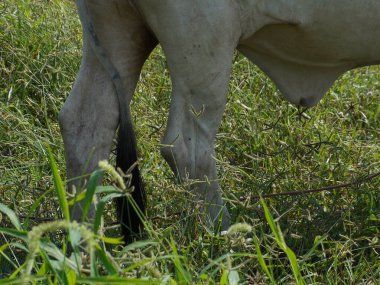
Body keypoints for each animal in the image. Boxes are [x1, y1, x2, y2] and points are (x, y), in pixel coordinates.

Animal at [58, 0, 380, 242]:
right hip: (204, 48)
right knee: (187, 151)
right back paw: (226, 240)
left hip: (118, 37)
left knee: (84, 127)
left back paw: (87, 246)